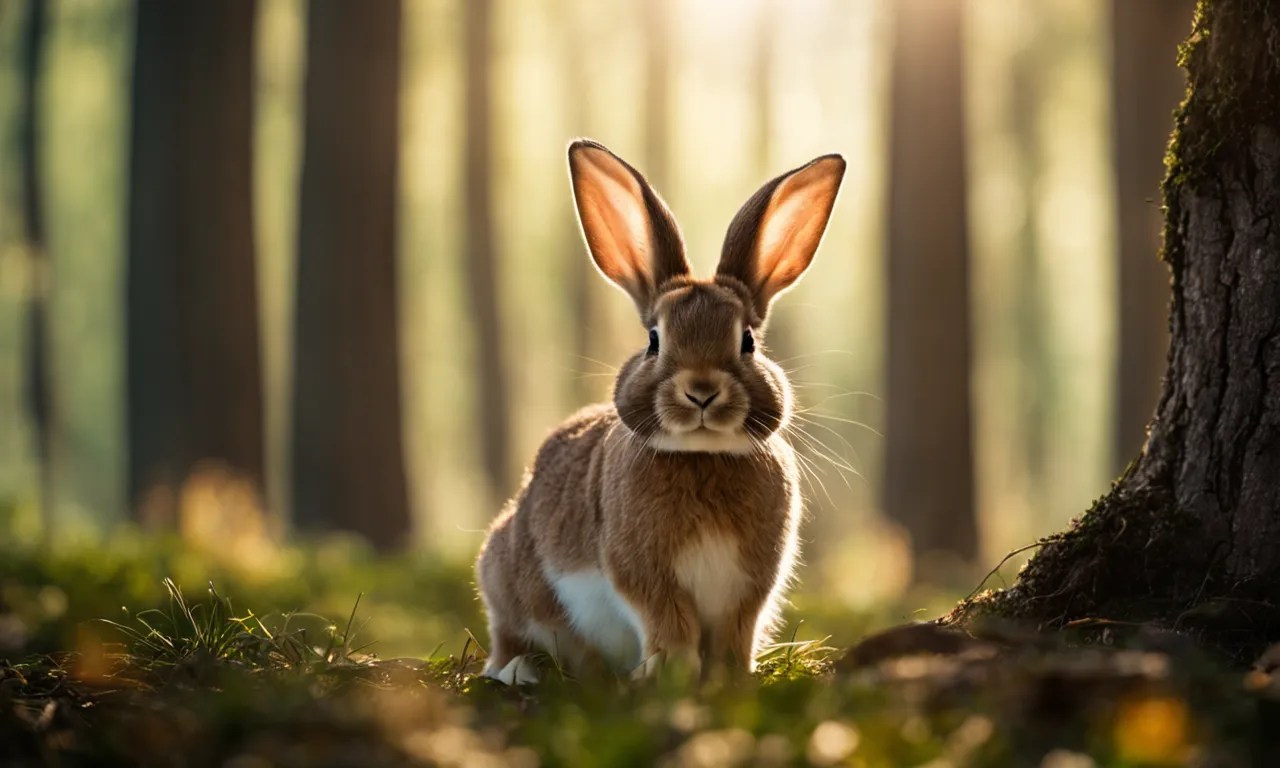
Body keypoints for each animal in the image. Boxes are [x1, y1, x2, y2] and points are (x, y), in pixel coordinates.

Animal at [475, 139, 845, 684]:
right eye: (654, 340)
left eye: (748, 342)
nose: (701, 391)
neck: (702, 455)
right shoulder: (643, 573)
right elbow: (668, 620)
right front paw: (666, 673)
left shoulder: (749, 588)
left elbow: (737, 630)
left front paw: (733, 677)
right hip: (505, 575)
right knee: (508, 635)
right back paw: (520, 669)